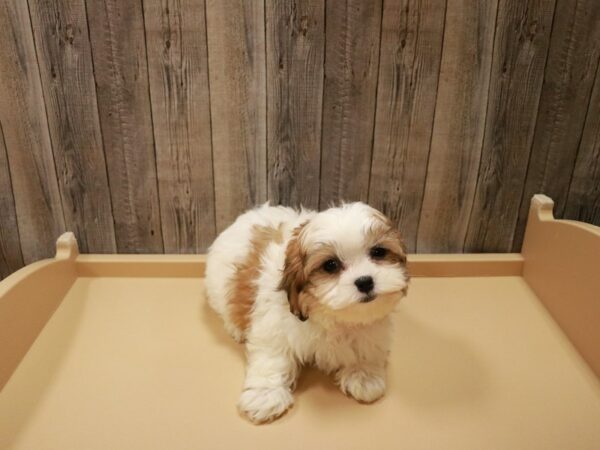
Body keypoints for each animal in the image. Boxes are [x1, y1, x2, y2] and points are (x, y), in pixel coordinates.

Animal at [205, 202, 408, 424]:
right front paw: (265, 395)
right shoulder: (274, 326)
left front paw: (364, 375)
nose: (365, 281)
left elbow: (366, 346)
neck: (328, 314)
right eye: (330, 265)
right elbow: (273, 357)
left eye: (378, 252)